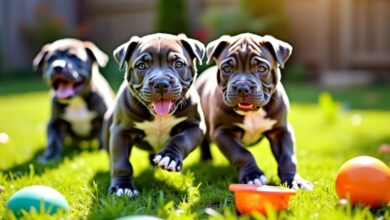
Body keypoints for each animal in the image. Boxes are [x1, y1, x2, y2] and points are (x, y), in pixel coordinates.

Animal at [105, 33, 206, 196]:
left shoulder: (196, 126)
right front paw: (123, 187)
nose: (161, 83)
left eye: (179, 64)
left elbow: (181, 139)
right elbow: (121, 162)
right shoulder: (121, 131)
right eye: (141, 66)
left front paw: (169, 157)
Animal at [197, 33, 312, 190]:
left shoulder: (281, 131)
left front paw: (295, 180)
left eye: (262, 68)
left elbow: (288, 157)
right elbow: (242, 153)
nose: (242, 87)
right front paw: (253, 176)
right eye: (226, 69)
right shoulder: (223, 132)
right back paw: (206, 159)